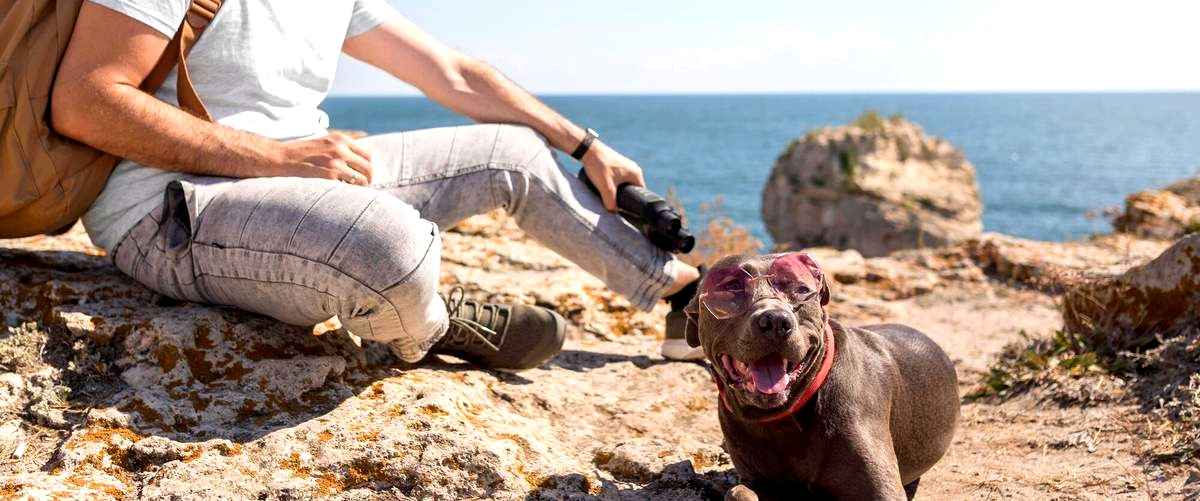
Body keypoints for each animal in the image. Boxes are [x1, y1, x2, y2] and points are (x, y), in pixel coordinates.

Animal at [683, 252, 959, 500]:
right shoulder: (760, 481)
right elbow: (738, 492)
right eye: (731, 288)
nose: (775, 321)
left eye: (801, 289)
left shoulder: (881, 489)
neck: (784, 420)